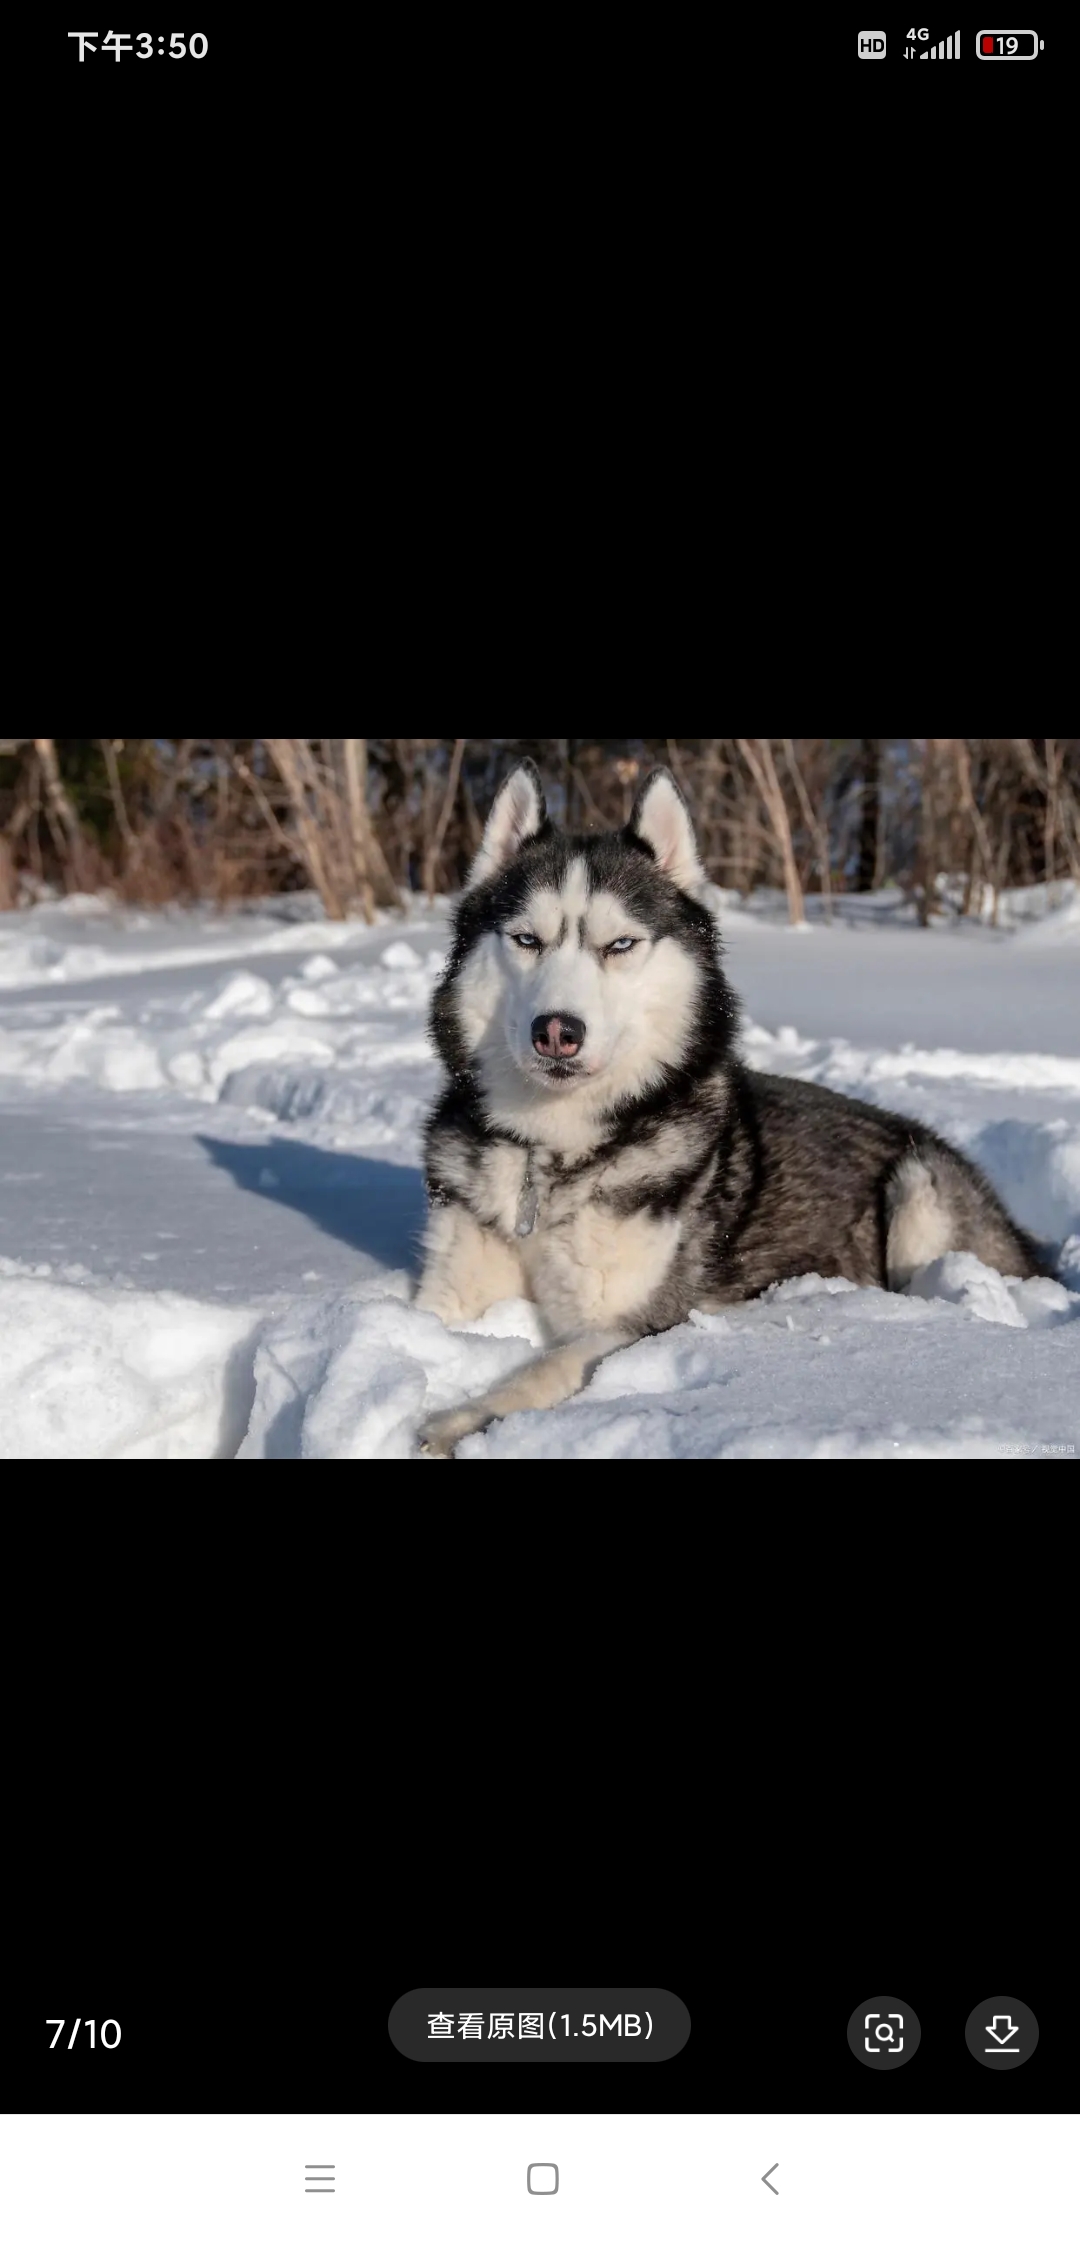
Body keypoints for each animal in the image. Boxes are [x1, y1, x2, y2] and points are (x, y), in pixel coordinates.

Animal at [413, 758, 1041, 1454]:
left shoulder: (642, 1322)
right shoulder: (453, 1286)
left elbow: (547, 1367)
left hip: (917, 1183)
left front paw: (461, 1419)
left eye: (620, 945)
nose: (556, 1030)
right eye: (526, 939)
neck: (552, 1154)